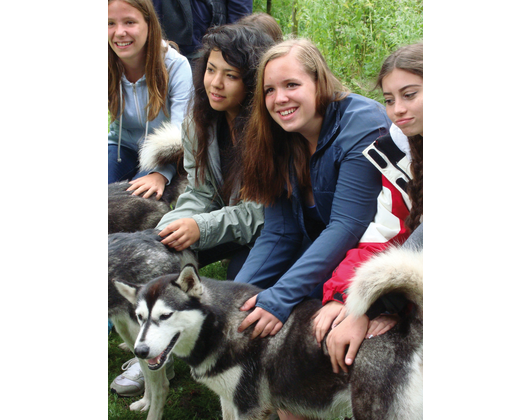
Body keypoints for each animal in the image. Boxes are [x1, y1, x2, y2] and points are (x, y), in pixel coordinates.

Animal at [110, 233, 420, 420]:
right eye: (140, 317)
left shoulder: (251, 407)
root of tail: (413, 329)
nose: (140, 351)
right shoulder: (229, 400)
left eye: (165, 316)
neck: (221, 327)